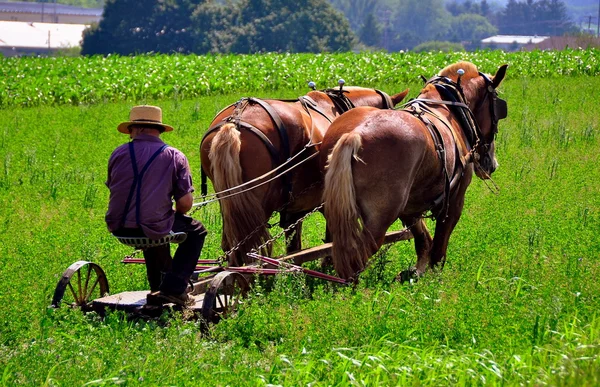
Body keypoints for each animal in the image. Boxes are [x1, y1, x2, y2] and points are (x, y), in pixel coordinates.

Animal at [200, 85, 408, 266]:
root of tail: (234, 122)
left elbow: (294, 249)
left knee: (231, 247)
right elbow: (330, 238)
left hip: (230, 203)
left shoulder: (293, 211)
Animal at [322, 63, 508, 282]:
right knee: (355, 260)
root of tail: (354, 134)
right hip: (380, 220)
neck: (446, 109)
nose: (492, 164)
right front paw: (434, 281)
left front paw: (415, 274)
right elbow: (438, 249)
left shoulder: (410, 206)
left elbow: (423, 240)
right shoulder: (454, 200)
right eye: (498, 107)